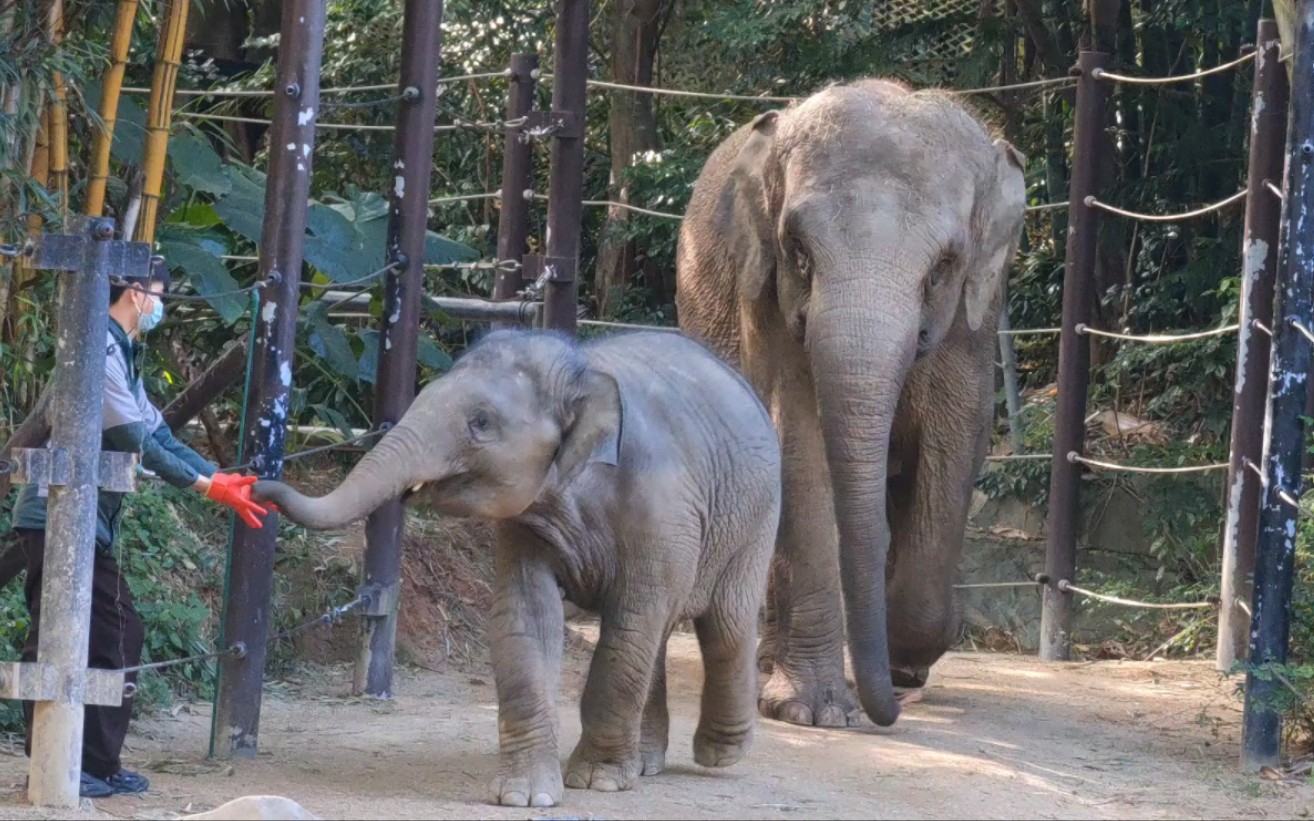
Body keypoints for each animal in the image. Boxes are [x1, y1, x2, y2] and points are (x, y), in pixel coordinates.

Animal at [256, 328, 777, 809]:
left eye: (481, 422)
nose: (257, 486)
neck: (582, 372)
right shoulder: (525, 523)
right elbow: (527, 617)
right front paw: (525, 795)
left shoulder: (663, 509)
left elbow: (630, 624)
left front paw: (597, 781)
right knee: (664, 637)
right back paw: (647, 765)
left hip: (756, 518)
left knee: (723, 623)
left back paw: (718, 753)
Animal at [678, 80, 1024, 725]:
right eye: (798, 252)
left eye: (942, 268)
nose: (886, 710)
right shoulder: (765, 294)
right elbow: (796, 435)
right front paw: (815, 712)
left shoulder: (977, 314)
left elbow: (958, 438)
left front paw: (904, 663)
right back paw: (769, 668)